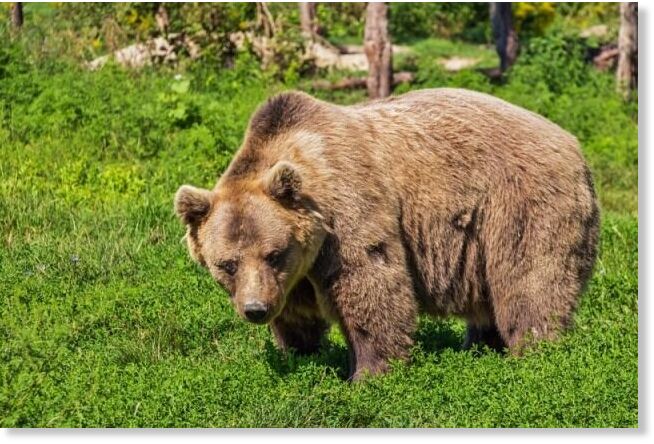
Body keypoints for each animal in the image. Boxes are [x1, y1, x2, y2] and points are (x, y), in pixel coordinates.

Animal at [174, 88, 599, 381]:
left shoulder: (348, 213)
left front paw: (368, 373)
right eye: (227, 264)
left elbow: (371, 285)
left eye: (273, 253)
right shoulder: (294, 274)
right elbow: (296, 314)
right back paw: (479, 346)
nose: (255, 309)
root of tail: (574, 144)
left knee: (530, 281)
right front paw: (300, 353)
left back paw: (534, 352)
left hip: (520, 204)